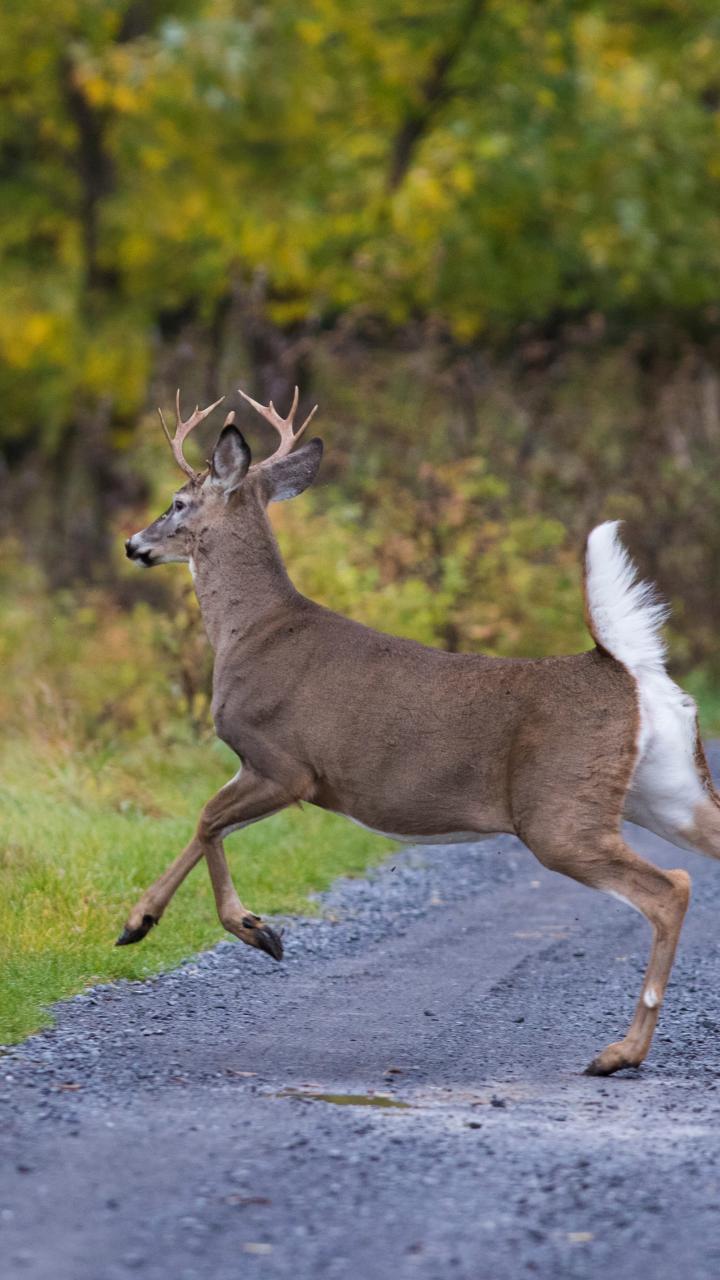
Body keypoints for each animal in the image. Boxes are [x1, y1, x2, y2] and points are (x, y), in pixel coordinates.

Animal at [122, 384, 720, 1076]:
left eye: (177, 502)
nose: (133, 544)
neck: (249, 633)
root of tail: (627, 669)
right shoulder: (262, 767)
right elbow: (206, 824)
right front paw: (137, 922)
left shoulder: (284, 762)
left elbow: (207, 821)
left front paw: (255, 930)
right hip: (666, 789)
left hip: (560, 811)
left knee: (671, 889)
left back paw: (620, 1052)